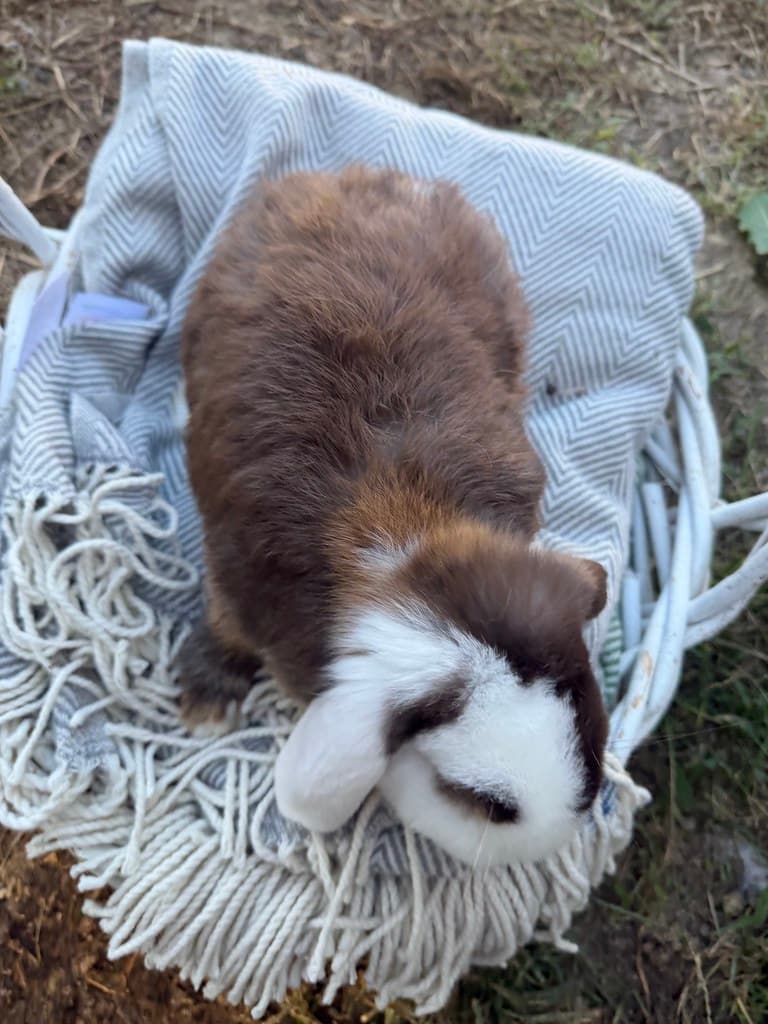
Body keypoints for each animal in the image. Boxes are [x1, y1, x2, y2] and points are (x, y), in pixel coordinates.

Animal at [179, 164, 609, 867]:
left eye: (594, 731)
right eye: (485, 801)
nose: (558, 841)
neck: (399, 546)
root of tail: (348, 177)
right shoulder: (237, 579)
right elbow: (226, 628)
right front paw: (205, 703)